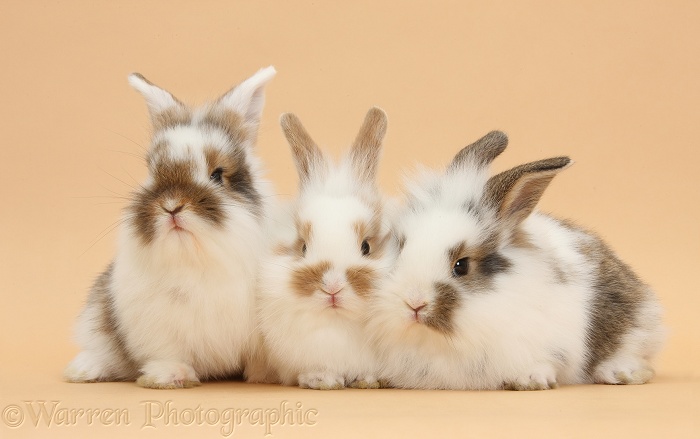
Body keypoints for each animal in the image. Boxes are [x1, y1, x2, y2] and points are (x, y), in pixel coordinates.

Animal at [65, 65, 278, 388]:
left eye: (217, 175)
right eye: (153, 171)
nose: (172, 205)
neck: (196, 257)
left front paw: (266, 376)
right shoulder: (155, 322)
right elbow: (170, 351)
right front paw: (168, 376)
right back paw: (82, 370)